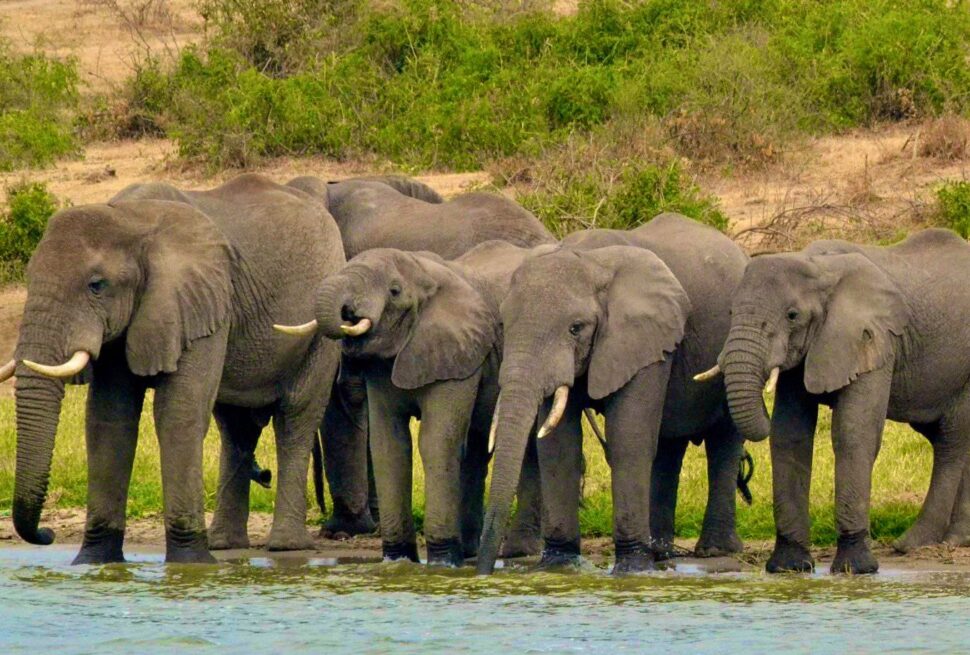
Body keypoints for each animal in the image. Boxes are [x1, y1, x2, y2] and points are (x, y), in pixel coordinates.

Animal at [6, 174, 344, 564]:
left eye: (96, 286)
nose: (46, 535)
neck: (130, 219)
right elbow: (108, 419)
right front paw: (94, 562)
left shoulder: (202, 301)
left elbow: (178, 413)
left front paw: (190, 563)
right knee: (234, 426)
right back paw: (225, 545)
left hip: (322, 323)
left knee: (295, 416)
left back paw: (286, 546)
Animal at [478, 215, 748, 576]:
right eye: (504, 325)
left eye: (575, 328)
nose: (483, 571)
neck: (592, 260)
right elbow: (558, 447)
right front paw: (560, 565)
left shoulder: (646, 336)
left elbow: (627, 439)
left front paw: (632, 568)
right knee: (669, 446)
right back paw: (660, 552)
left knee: (724, 442)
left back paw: (712, 550)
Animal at [716, 229, 968, 576]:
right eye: (730, 313)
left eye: (792, 316)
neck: (818, 267)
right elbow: (790, 436)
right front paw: (789, 567)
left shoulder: (872, 339)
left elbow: (853, 434)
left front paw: (856, 568)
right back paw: (954, 538)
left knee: (952, 441)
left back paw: (917, 543)